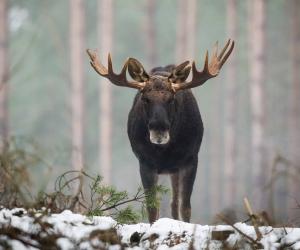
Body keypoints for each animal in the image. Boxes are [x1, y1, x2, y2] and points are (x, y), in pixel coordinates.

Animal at [86, 40, 234, 224]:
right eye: (145, 99)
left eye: (171, 99)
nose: (159, 131)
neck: (165, 151)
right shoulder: (145, 162)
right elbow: (152, 208)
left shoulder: (191, 158)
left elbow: (185, 207)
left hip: (176, 168)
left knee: (175, 203)